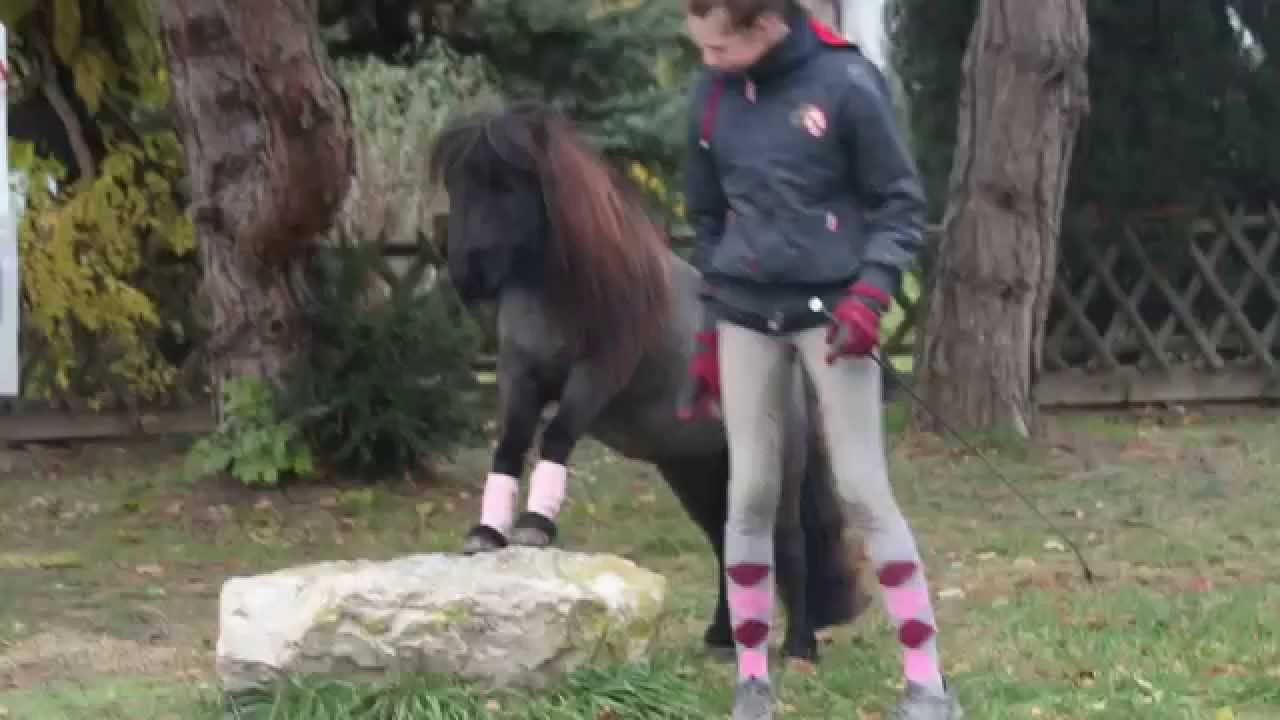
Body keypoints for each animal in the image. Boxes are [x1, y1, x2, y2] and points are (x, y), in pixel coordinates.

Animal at [427, 99, 871, 663]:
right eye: (457, 184)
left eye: (506, 184)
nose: (468, 277)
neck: (574, 287)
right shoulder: (520, 377)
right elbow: (508, 447)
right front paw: (486, 532)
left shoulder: (596, 377)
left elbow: (557, 435)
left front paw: (534, 526)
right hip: (696, 468)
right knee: (725, 540)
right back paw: (723, 638)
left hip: (775, 460)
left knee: (790, 539)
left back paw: (799, 647)